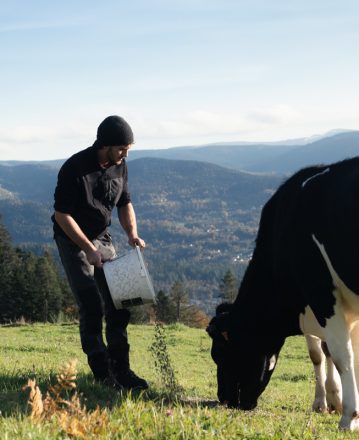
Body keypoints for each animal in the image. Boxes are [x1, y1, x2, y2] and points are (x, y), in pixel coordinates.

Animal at [208, 158, 359, 430]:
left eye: (221, 355)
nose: (223, 398)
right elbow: (325, 354)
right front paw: (328, 401)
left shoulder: (321, 296)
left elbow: (342, 356)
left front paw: (347, 415)